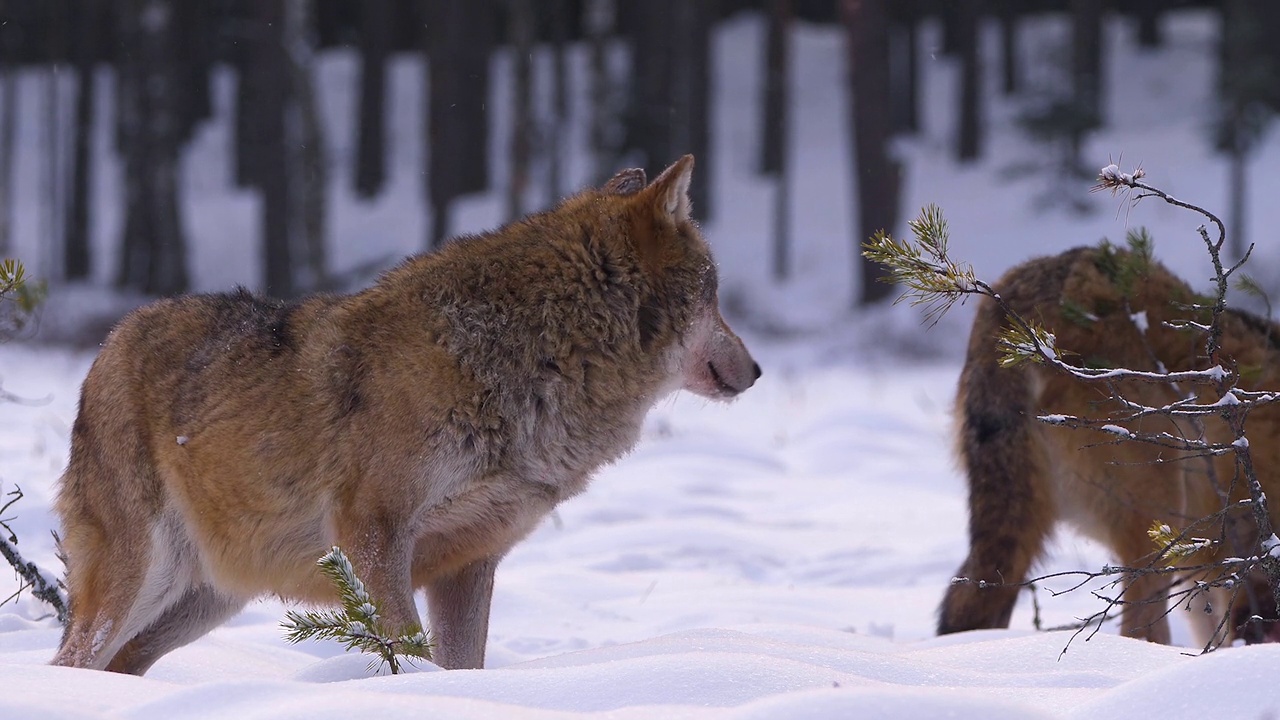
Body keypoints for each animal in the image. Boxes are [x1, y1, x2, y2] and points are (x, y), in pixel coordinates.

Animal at [52, 152, 757, 671]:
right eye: (714, 292)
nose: (755, 371)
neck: (537, 355)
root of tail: (107, 343)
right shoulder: (373, 533)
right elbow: (406, 649)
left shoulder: (471, 561)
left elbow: (460, 664)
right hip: (142, 579)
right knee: (73, 658)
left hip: (205, 600)